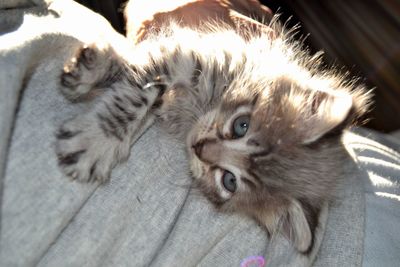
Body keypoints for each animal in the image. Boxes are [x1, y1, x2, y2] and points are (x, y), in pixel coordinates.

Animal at [54, 13, 370, 262]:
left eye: (229, 182)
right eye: (242, 125)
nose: (199, 147)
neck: (203, 105)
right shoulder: (193, 57)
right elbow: (139, 85)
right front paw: (97, 139)